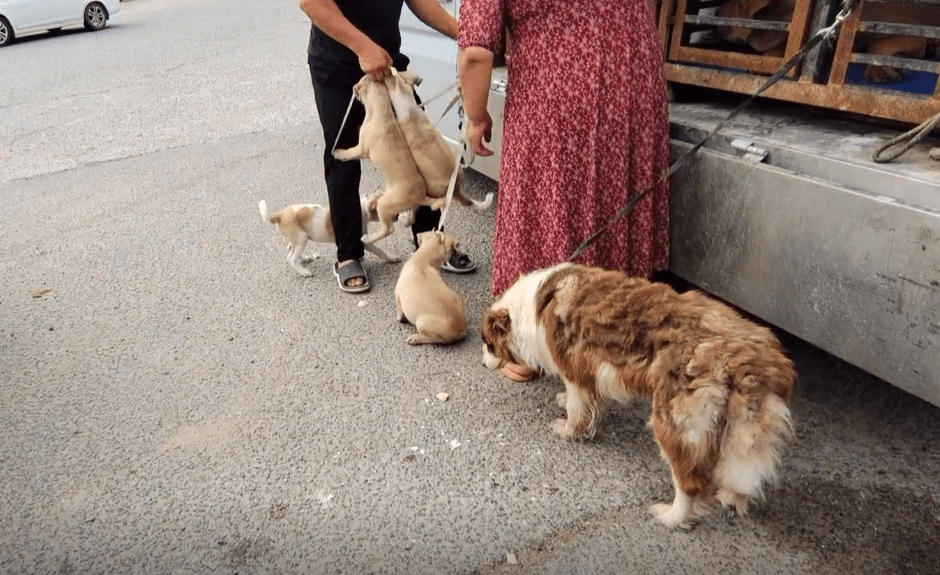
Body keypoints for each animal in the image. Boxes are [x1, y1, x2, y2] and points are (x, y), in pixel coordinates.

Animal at [258, 191, 398, 276]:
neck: (361, 208)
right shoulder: (364, 241)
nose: (397, 217)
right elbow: (380, 251)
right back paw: (303, 272)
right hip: (301, 238)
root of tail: (280, 215)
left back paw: (304, 258)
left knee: (292, 251)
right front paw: (392, 257)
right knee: (291, 258)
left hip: (299, 239)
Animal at [334, 75, 444, 243]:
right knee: (410, 215)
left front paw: (338, 153)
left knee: (388, 229)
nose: (353, 88)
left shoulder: (361, 148)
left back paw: (369, 238)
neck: (381, 113)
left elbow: (349, 153)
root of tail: (420, 196)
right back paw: (405, 218)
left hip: (384, 205)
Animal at [482, 264, 796, 528]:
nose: (483, 365)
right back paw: (732, 498)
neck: (532, 305)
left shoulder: (573, 369)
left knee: (690, 483)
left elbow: (577, 407)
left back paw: (671, 516)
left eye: (487, 343)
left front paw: (568, 430)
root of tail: (749, 358)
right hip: (739, 427)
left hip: (677, 424)